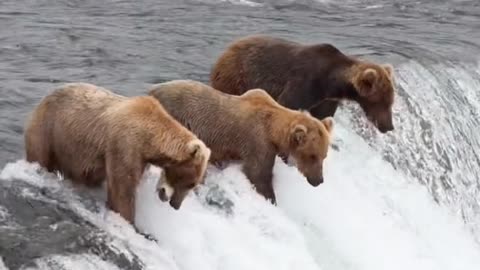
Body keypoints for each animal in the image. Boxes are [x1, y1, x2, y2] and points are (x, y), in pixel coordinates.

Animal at [23, 81, 210, 224]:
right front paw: (130, 221)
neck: (149, 138)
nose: (175, 205)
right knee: (39, 155)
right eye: (191, 183)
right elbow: (123, 190)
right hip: (48, 130)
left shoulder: (140, 158)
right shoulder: (124, 144)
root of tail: (45, 96)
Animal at [147, 80, 334, 205]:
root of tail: (151, 91)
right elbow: (258, 174)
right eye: (312, 156)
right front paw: (271, 198)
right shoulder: (258, 143)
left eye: (324, 156)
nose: (319, 180)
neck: (273, 128)